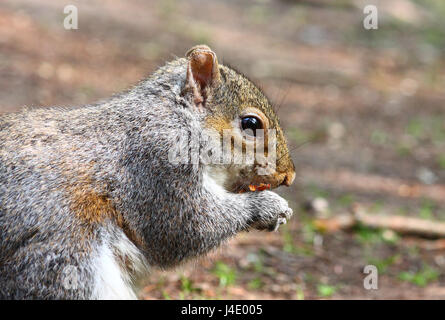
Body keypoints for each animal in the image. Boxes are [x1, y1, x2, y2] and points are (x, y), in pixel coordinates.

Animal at [0, 45, 294, 300]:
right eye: (251, 123)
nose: (288, 176)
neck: (181, 119)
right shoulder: (157, 164)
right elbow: (186, 228)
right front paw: (270, 206)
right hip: (65, 260)